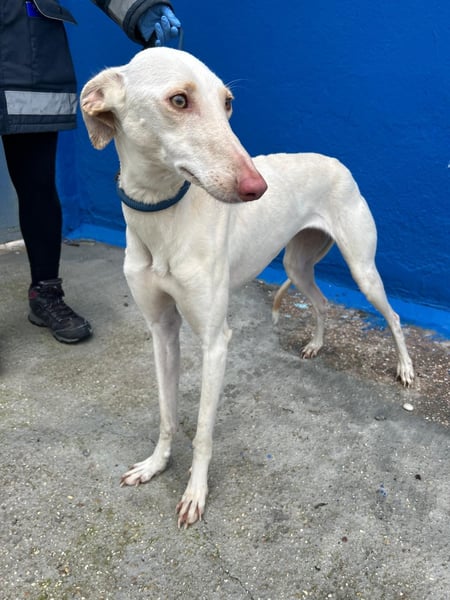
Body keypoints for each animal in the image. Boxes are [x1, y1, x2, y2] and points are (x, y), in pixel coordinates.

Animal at [80, 47, 414, 528]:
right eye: (179, 100)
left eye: (228, 103)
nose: (258, 188)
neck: (164, 217)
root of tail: (336, 161)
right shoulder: (162, 331)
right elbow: (166, 413)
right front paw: (155, 465)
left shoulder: (216, 341)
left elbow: (203, 430)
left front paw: (195, 493)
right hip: (296, 265)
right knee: (321, 302)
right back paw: (316, 344)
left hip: (362, 268)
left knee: (393, 314)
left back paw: (405, 368)